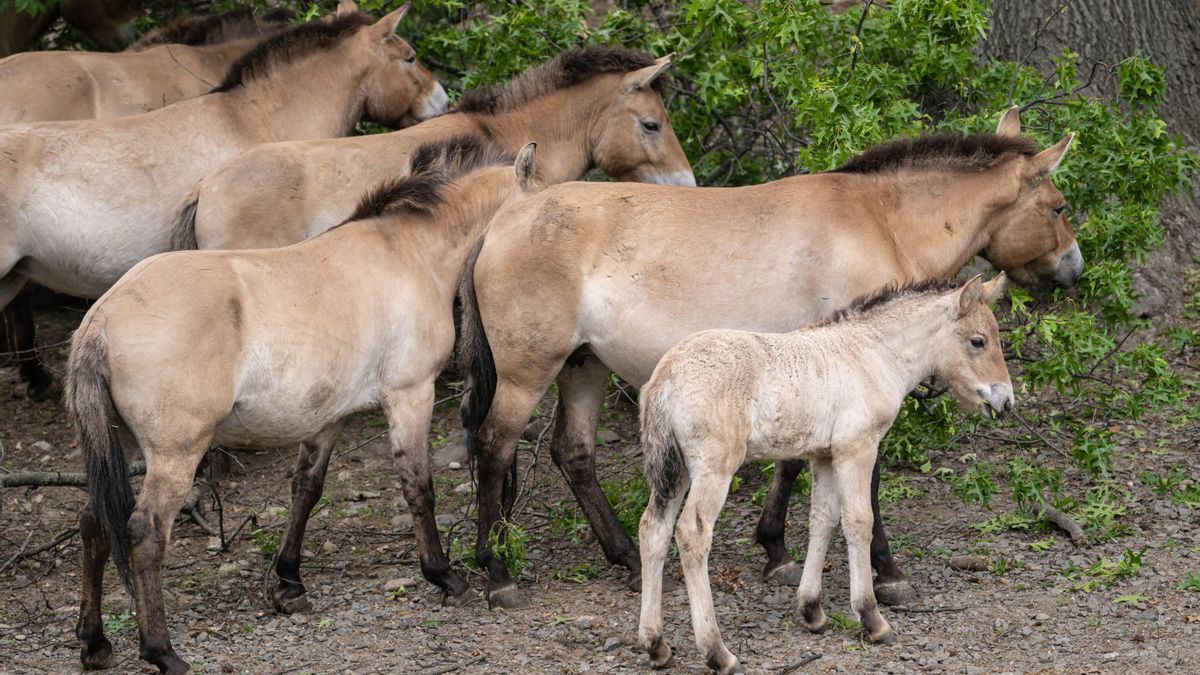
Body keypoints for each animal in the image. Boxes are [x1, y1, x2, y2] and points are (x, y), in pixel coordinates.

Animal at [66, 136, 536, 674]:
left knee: (94, 523)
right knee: (144, 535)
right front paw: (444, 576)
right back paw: (163, 652)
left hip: (118, 447)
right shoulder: (411, 395)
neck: (411, 253)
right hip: (174, 455)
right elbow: (419, 488)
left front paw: (289, 585)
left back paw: (95, 642)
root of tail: (102, 317)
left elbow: (305, 491)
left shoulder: (328, 417)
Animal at [456, 108, 1079, 609]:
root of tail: (505, 219)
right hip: (527, 375)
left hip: (583, 367)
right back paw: (498, 574)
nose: (1073, 270)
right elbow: (864, 483)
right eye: (1057, 206)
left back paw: (629, 560)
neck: (880, 222)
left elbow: (792, 462)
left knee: (574, 454)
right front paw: (887, 574)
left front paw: (775, 550)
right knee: (494, 447)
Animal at [637, 275, 1013, 673]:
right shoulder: (857, 449)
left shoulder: (824, 456)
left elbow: (823, 519)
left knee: (653, 529)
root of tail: (665, 377)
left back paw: (656, 645)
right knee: (692, 533)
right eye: (978, 341)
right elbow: (859, 522)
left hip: (675, 469)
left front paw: (812, 611)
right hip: (714, 467)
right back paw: (718, 652)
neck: (873, 354)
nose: (1006, 402)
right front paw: (872, 618)